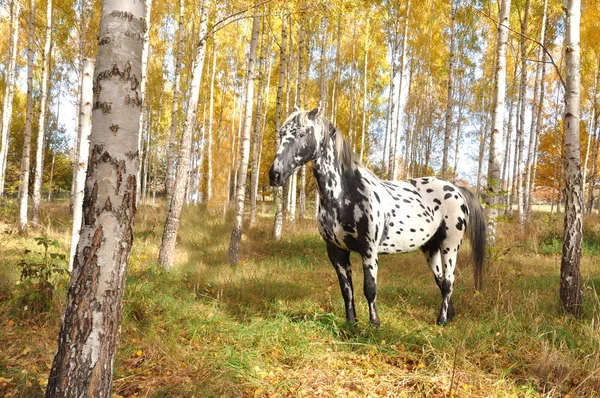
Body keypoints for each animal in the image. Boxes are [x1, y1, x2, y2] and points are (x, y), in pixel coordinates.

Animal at [270, 106, 486, 326]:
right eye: (281, 134)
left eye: (301, 134)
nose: (275, 175)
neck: (345, 193)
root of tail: (457, 189)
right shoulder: (336, 252)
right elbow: (347, 290)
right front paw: (351, 323)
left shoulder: (369, 250)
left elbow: (370, 289)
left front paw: (375, 324)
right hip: (430, 248)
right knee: (441, 281)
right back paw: (449, 316)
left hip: (450, 246)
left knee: (449, 282)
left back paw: (441, 320)